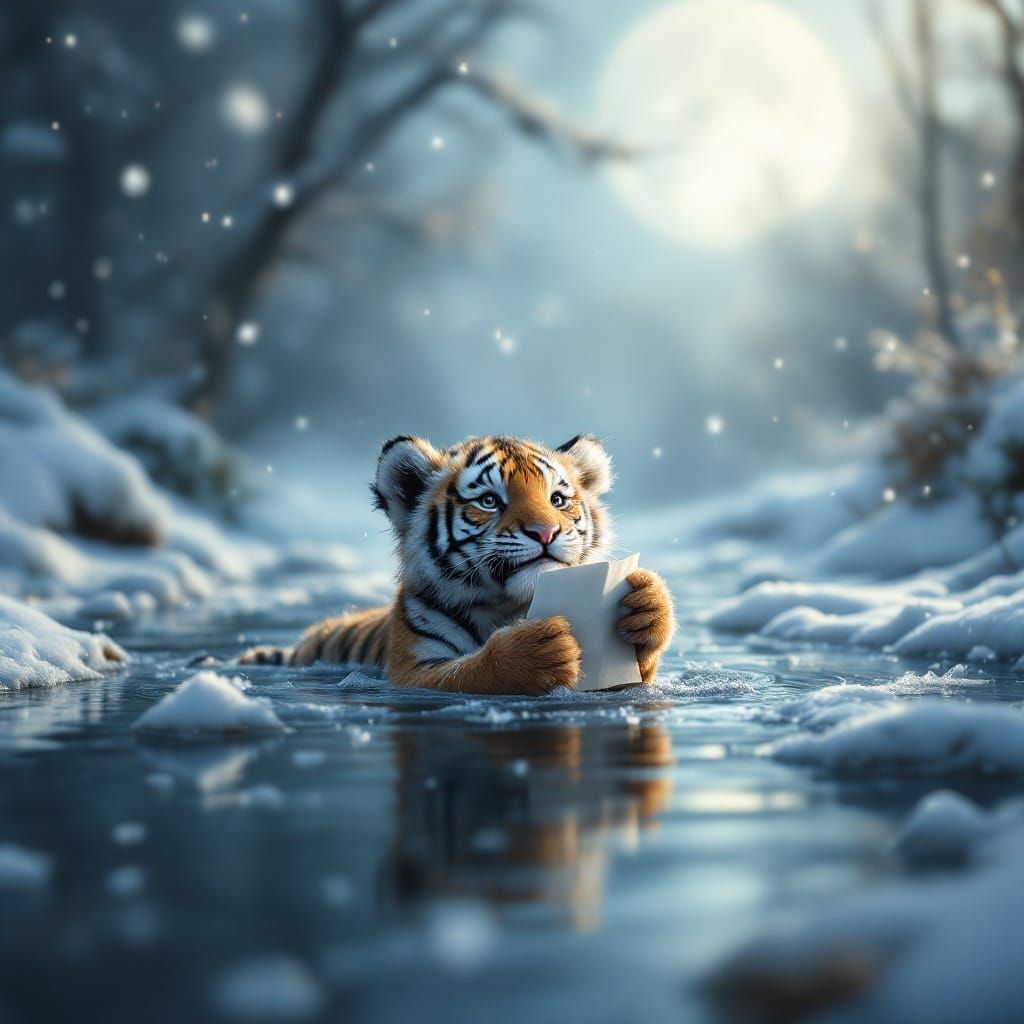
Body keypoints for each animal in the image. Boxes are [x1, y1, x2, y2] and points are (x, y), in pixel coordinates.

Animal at [238, 434, 676, 695]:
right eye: (489, 501)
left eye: (557, 500)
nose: (545, 532)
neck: (507, 607)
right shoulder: (412, 671)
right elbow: (470, 672)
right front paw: (534, 650)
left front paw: (647, 606)